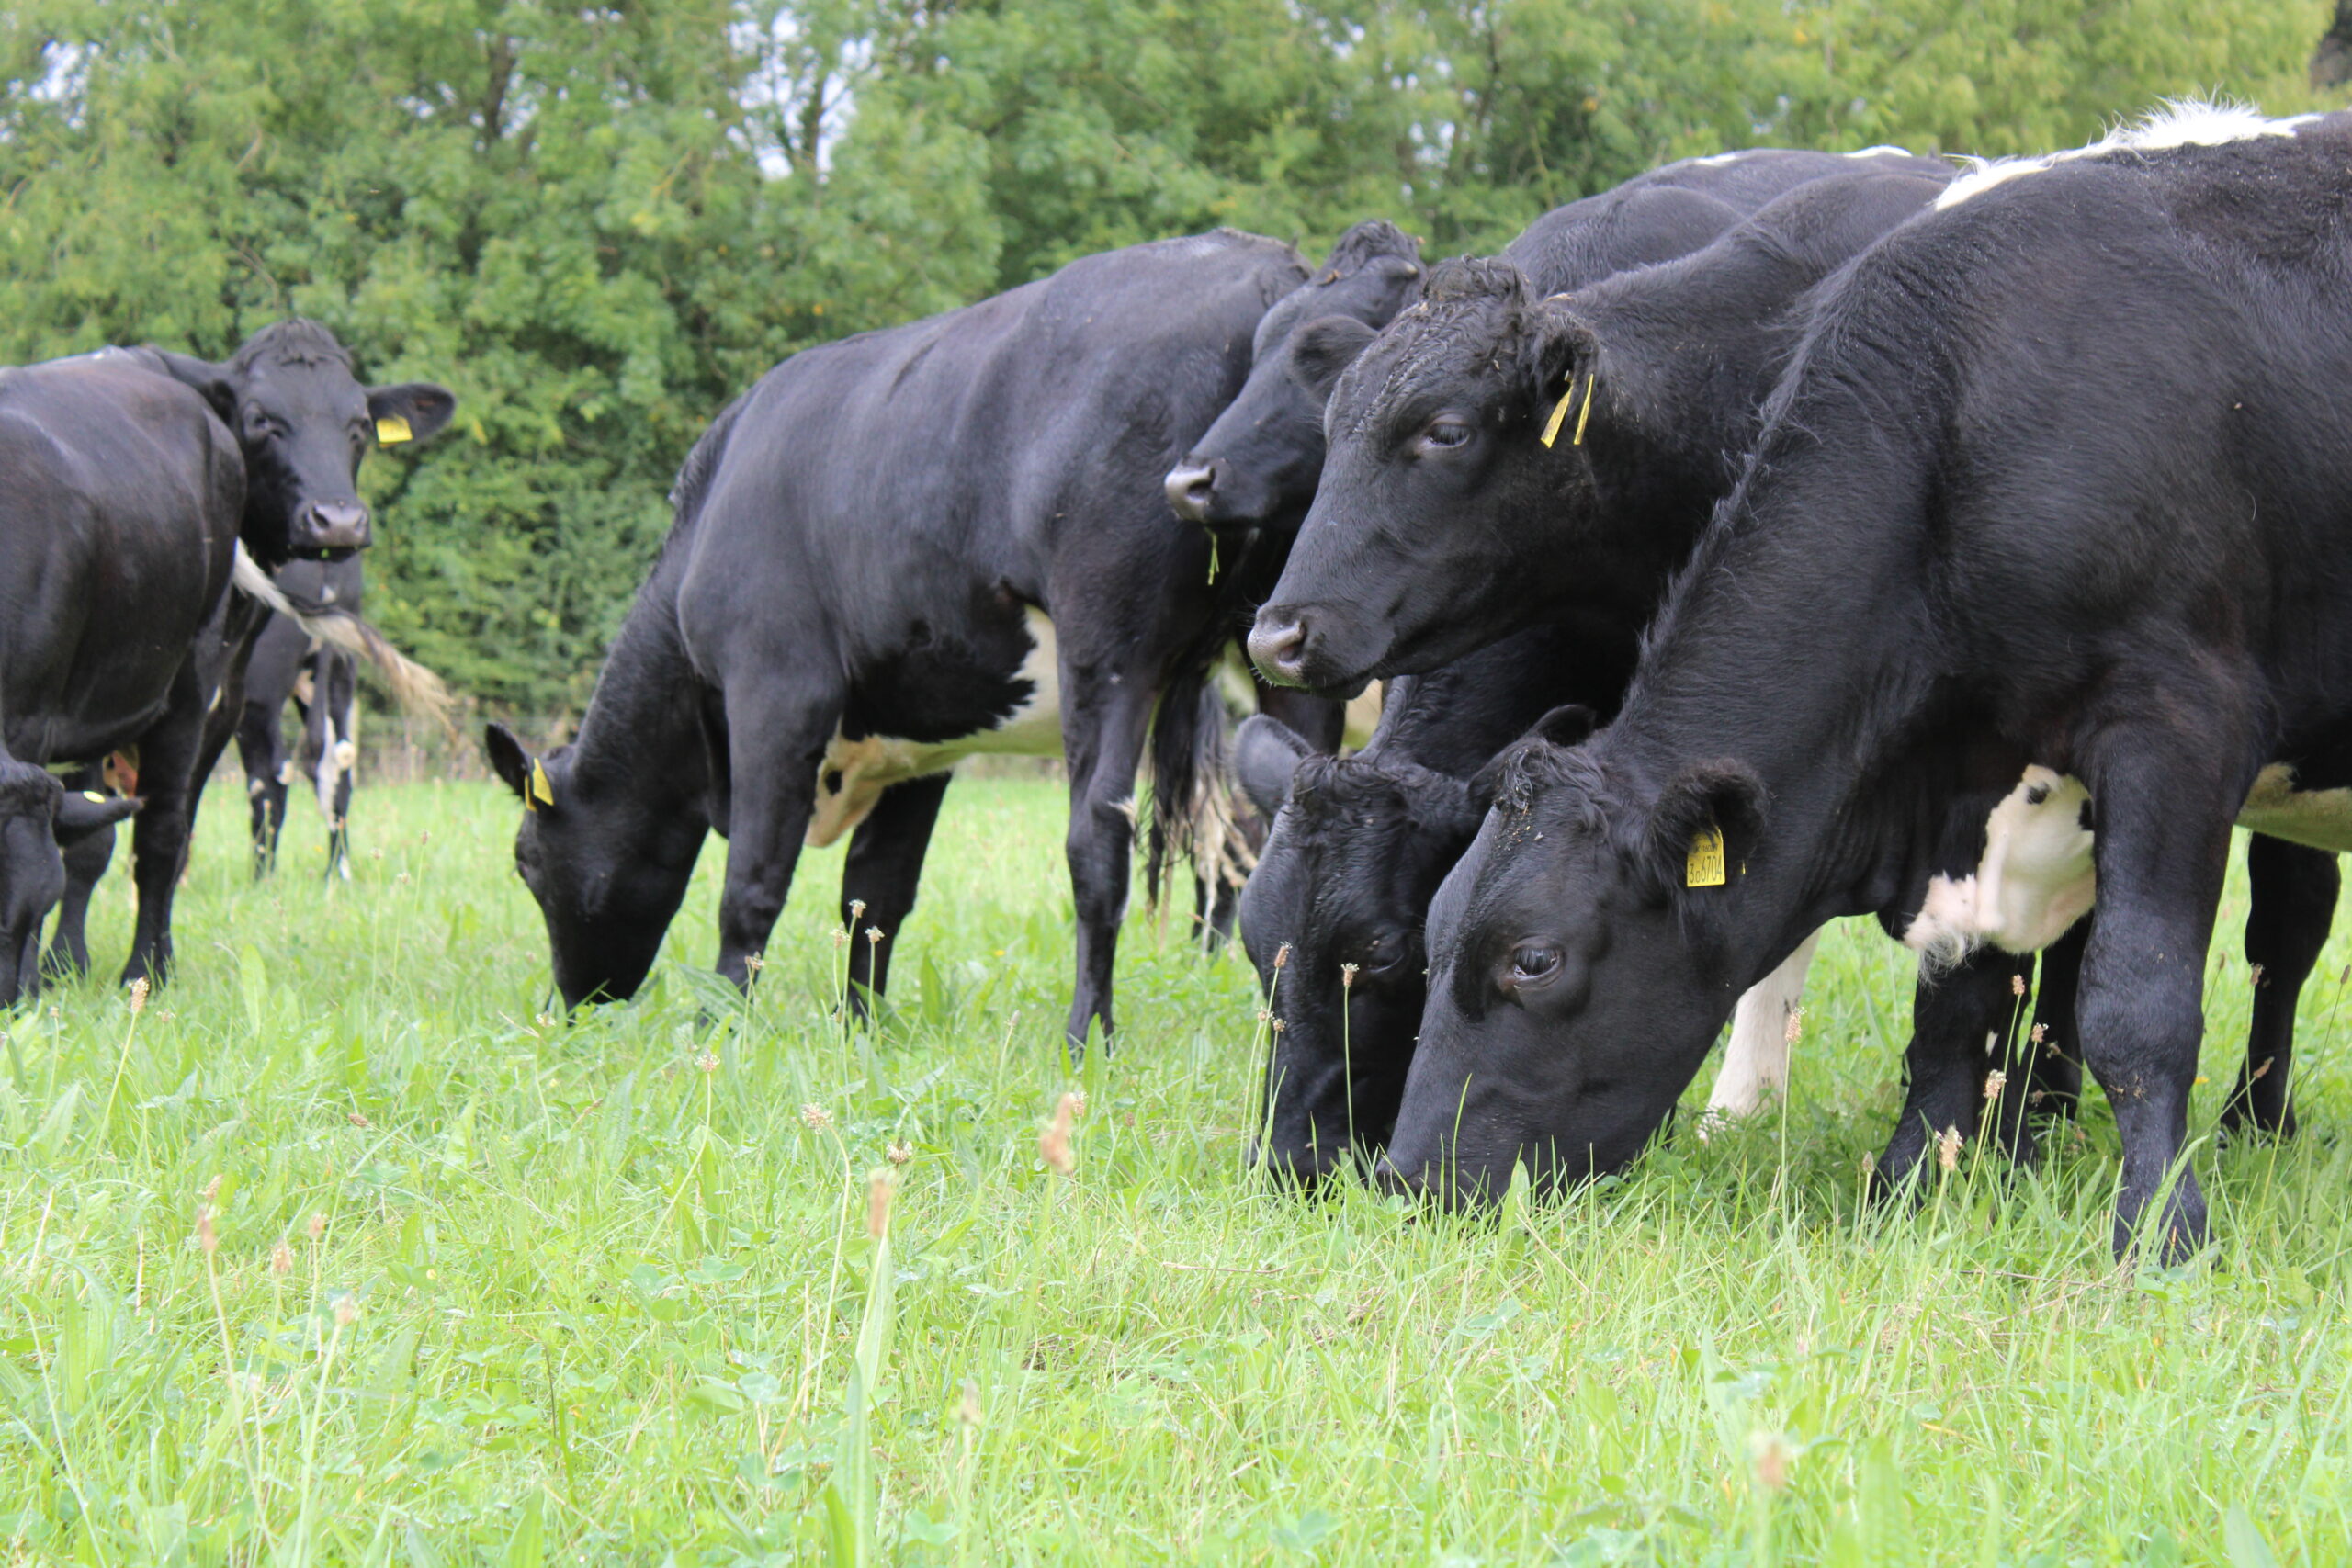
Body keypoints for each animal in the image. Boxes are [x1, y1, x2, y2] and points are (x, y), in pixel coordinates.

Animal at [0, 324, 453, 1002]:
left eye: (360, 424)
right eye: (263, 419)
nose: (339, 521)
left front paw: (50, 973)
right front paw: (56, 971)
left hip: (200, 690)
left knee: (167, 831)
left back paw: (147, 969)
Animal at [483, 231, 1317, 1053]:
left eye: (526, 862)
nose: (570, 1005)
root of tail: (1260, 263)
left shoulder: (776, 690)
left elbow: (752, 880)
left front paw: (719, 1026)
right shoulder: (921, 729)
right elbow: (875, 893)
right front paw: (858, 1027)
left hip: (1108, 653)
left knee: (1097, 845)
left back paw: (1088, 1037)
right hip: (1281, 660)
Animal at [1380, 106, 2352, 1260]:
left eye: (1533, 960)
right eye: (1433, 933)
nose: (1406, 1176)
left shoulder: (2179, 726)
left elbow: (2136, 996)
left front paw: (2159, 1229)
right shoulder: (1971, 774)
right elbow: (1957, 1006)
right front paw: (1909, 1186)